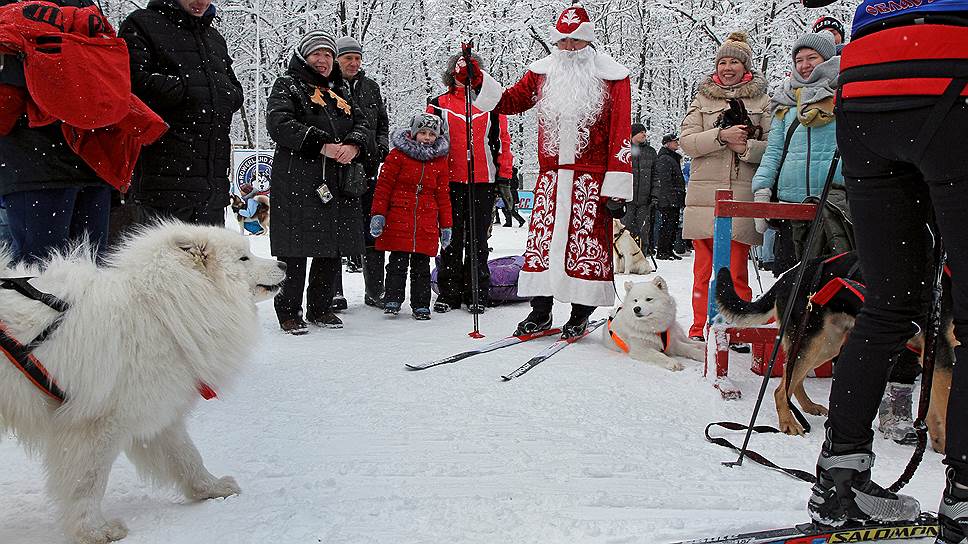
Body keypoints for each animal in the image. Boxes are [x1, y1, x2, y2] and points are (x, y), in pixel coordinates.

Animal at [0, 222, 286, 544]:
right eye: (243, 258)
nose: (284, 264)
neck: (159, 310)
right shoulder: (97, 423)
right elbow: (87, 482)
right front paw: (95, 531)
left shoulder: (157, 412)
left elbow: (187, 457)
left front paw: (211, 489)